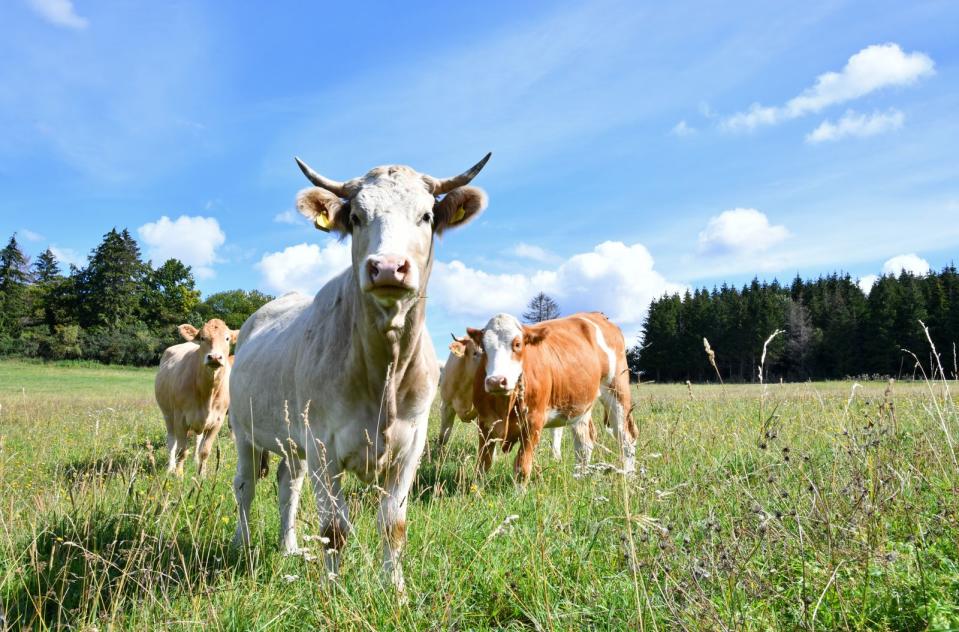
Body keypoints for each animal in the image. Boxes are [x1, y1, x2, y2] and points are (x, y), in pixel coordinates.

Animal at [155, 318, 237, 476]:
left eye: (227, 338)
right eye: (203, 338)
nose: (215, 357)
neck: (207, 393)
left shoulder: (217, 421)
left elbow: (205, 451)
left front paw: (202, 474)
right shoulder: (180, 418)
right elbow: (181, 451)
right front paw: (178, 475)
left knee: (197, 440)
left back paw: (195, 461)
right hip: (168, 414)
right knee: (172, 441)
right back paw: (170, 468)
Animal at [230, 152, 492, 592]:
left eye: (426, 215)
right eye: (355, 217)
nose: (387, 268)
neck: (385, 367)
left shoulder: (411, 445)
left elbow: (393, 524)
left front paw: (396, 589)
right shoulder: (323, 444)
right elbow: (334, 528)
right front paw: (333, 590)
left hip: (292, 438)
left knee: (287, 483)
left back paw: (289, 547)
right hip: (245, 431)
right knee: (246, 487)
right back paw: (244, 545)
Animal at [466, 312, 632, 484]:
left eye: (517, 344)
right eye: (483, 347)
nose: (496, 381)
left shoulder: (533, 423)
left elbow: (522, 467)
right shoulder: (484, 423)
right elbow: (482, 465)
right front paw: (476, 488)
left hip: (617, 391)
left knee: (625, 438)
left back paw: (629, 476)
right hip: (581, 405)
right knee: (584, 444)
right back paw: (579, 477)